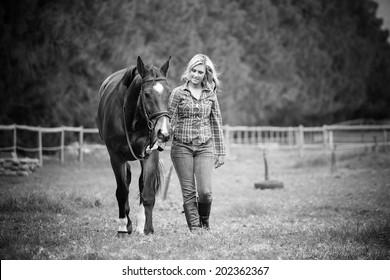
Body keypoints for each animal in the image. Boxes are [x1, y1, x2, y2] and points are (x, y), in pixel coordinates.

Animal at [95, 55, 171, 235]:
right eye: (147, 94)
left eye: (169, 92)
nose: (163, 132)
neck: (133, 122)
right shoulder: (116, 157)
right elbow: (122, 192)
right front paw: (123, 227)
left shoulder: (151, 154)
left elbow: (147, 192)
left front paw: (147, 228)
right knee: (126, 182)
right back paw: (128, 223)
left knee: (140, 184)